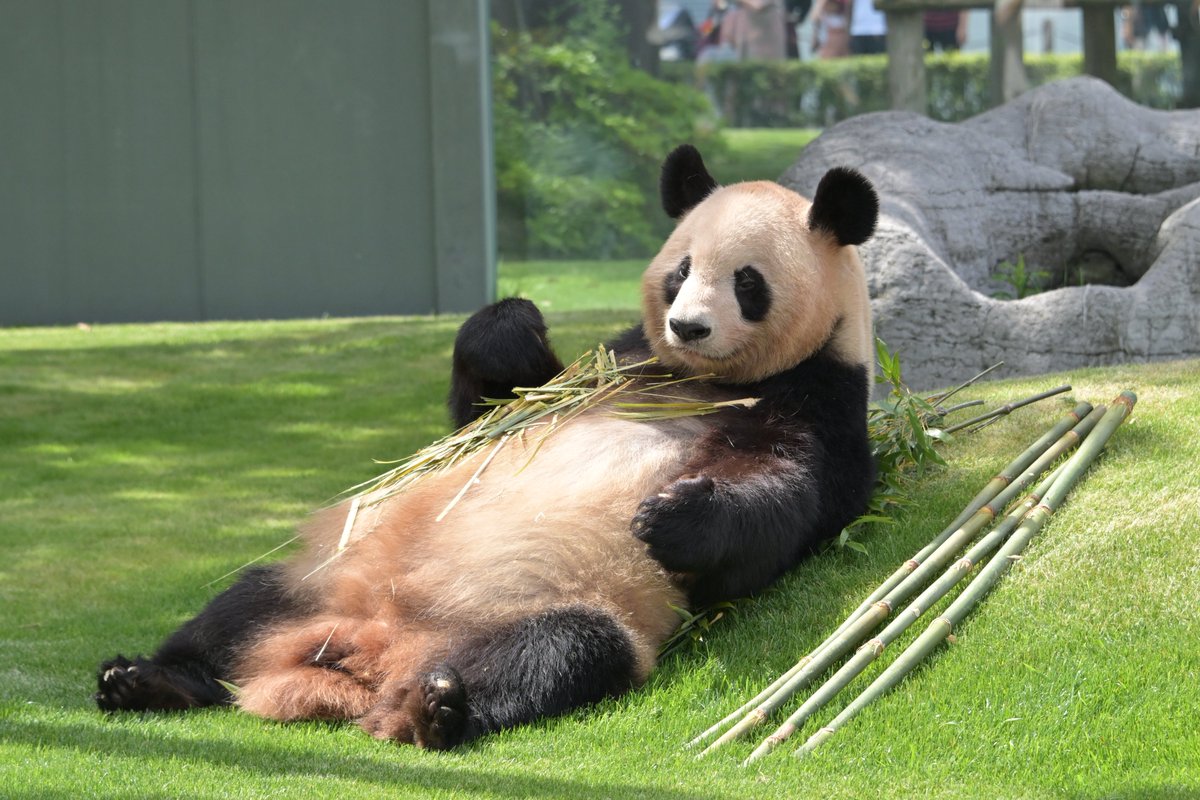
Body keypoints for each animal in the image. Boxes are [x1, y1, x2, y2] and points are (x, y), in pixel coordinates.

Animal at [96, 146, 883, 753]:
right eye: (680, 271)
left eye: (746, 282)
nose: (688, 327)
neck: (700, 378)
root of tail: (364, 657)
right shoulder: (616, 365)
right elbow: (483, 412)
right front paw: (514, 325)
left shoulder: (822, 403)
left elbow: (778, 505)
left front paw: (673, 516)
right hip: (321, 579)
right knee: (237, 609)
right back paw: (149, 680)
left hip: (555, 609)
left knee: (556, 653)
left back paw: (433, 714)